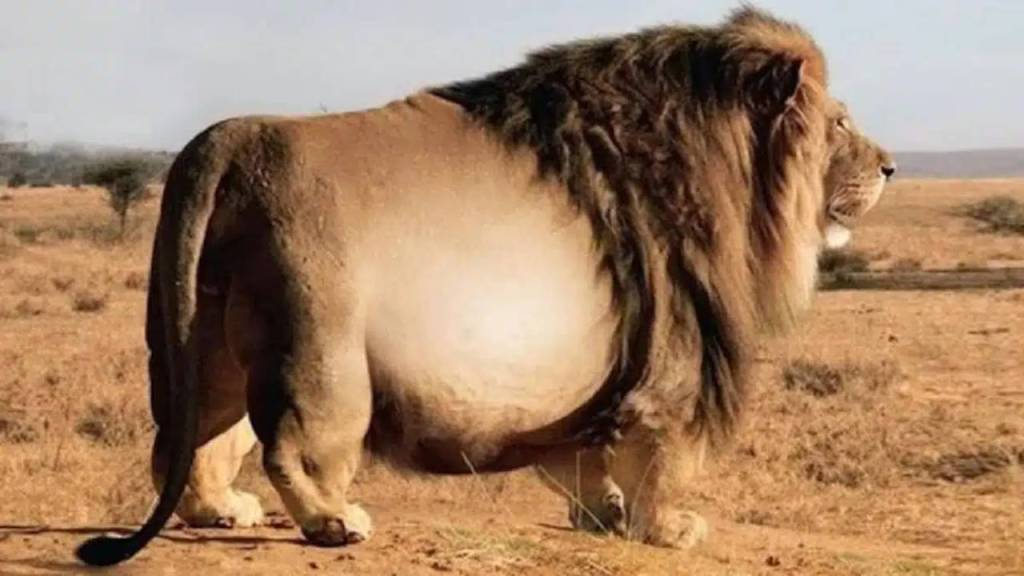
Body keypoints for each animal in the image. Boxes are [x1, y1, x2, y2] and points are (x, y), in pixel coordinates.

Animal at [77, 7, 893, 566]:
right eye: (840, 123)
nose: (890, 166)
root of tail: (228, 139)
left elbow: (583, 458)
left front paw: (604, 514)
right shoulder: (674, 358)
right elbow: (658, 457)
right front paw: (667, 529)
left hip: (202, 336)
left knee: (189, 436)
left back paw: (220, 510)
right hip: (322, 346)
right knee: (291, 445)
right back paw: (335, 522)